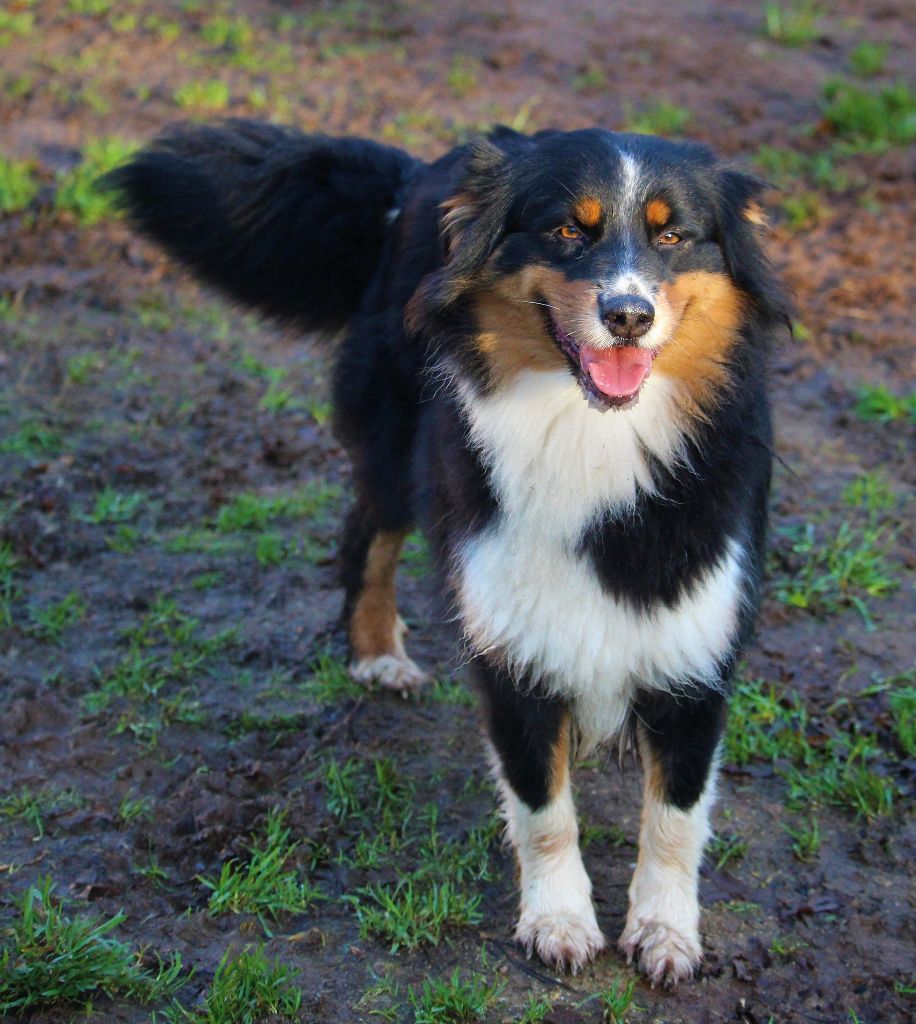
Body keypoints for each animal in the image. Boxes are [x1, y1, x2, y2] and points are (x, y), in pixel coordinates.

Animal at [107, 119, 790, 983]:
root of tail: (420, 170)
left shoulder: (696, 644)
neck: (595, 435)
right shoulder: (512, 641)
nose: (629, 315)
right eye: (567, 231)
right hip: (397, 442)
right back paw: (376, 653)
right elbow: (542, 806)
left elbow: (675, 817)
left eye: (673, 236)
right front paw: (558, 921)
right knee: (366, 535)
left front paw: (666, 933)